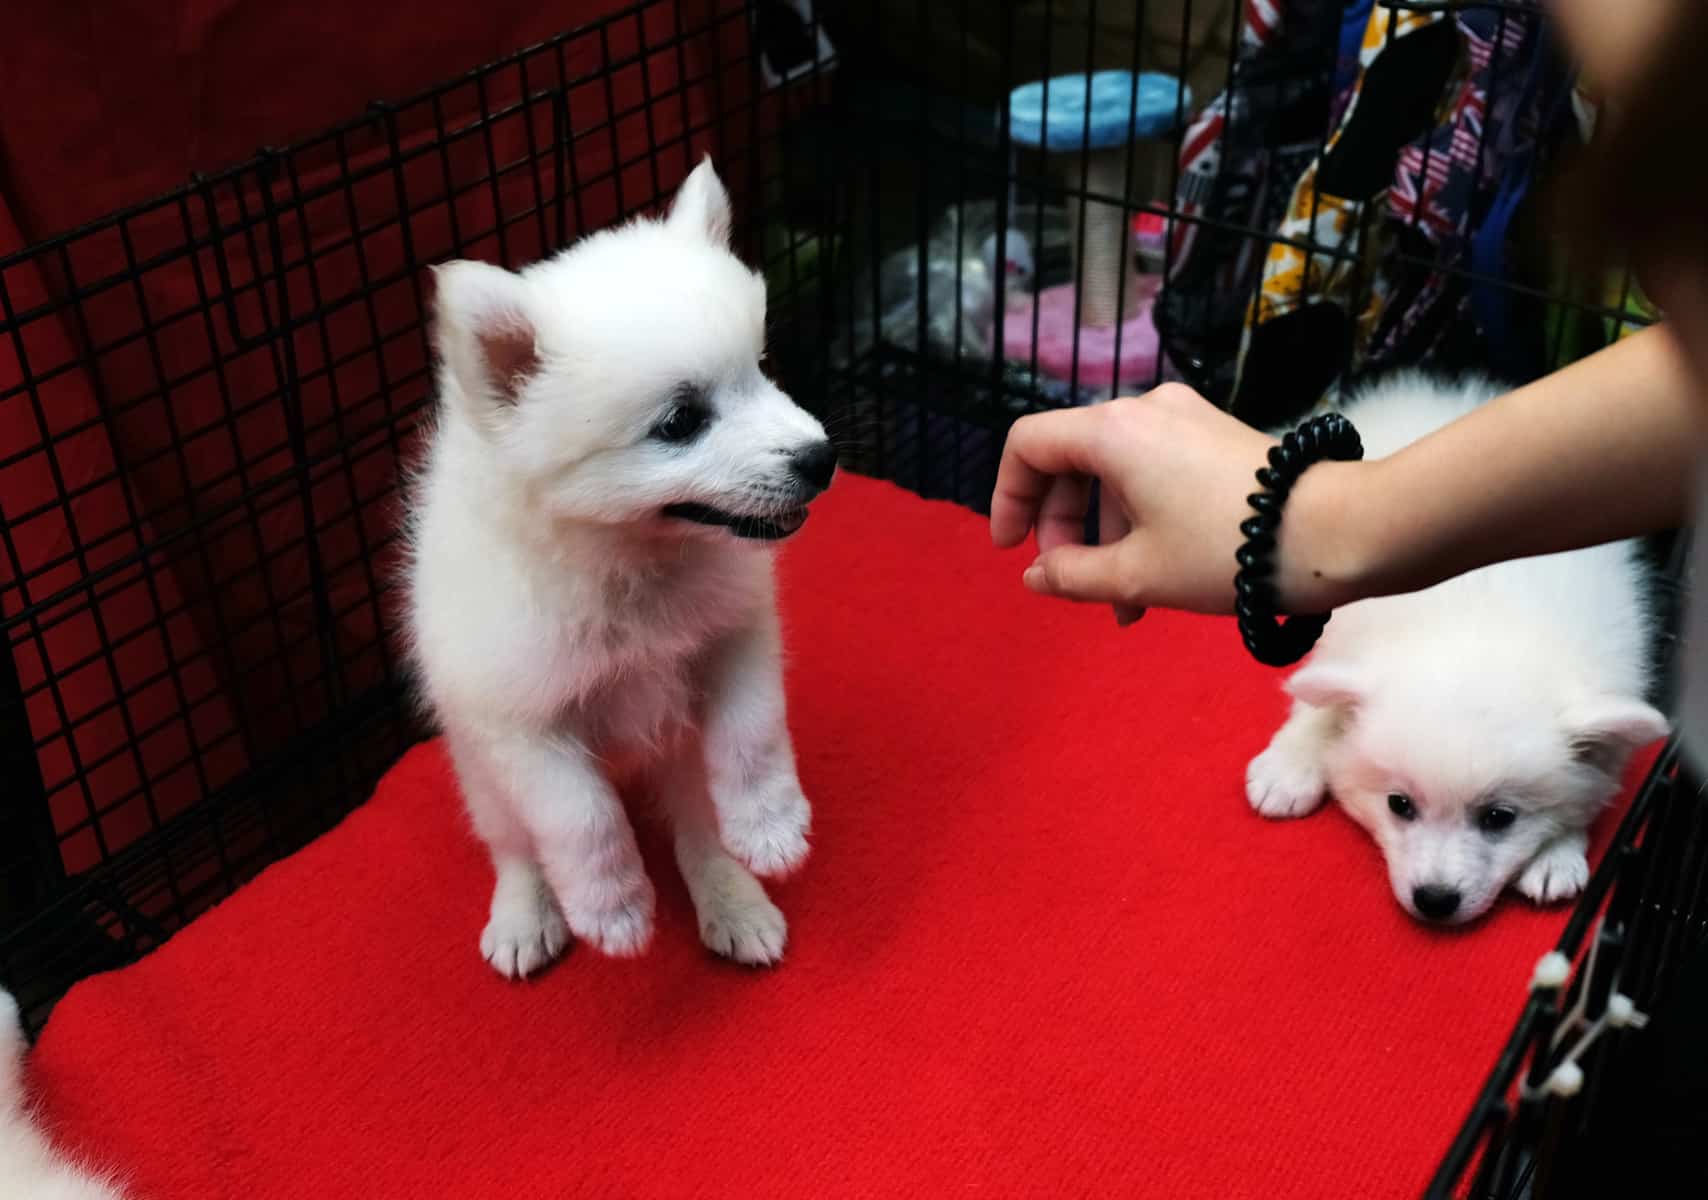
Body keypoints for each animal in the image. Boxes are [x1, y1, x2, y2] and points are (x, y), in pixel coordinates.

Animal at [413, 157, 840, 976]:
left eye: (761, 368)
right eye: (680, 422)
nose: (821, 459)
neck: (632, 567)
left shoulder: (734, 637)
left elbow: (752, 731)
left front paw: (770, 825)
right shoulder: (522, 724)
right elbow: (579, 816)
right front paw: (610, 907)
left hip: (676, 751)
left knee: (696, 829)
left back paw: (732, 898)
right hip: (481, 775)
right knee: (514, 844)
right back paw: (526, 912)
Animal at [1243, 375, 1667, 928]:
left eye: (1499, 818)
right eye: (1399, 805)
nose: (1435, 900)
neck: (1482, 630)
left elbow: (1594, 783)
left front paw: (1557, 852)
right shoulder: (1343, 634)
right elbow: (1317, 699)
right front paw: (1291, 762)